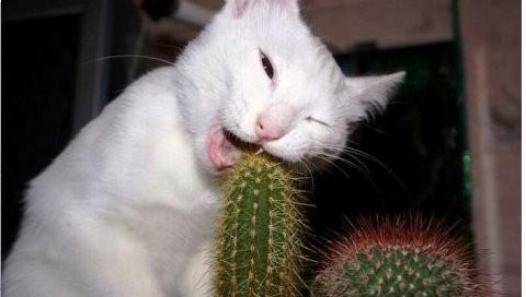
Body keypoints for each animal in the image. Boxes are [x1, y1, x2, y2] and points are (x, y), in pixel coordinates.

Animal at [2, 0, 404, 296]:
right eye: (266, 66)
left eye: (315, 122)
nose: (270, 128)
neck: (191, 178)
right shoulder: (87, 227)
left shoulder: (206, 254)